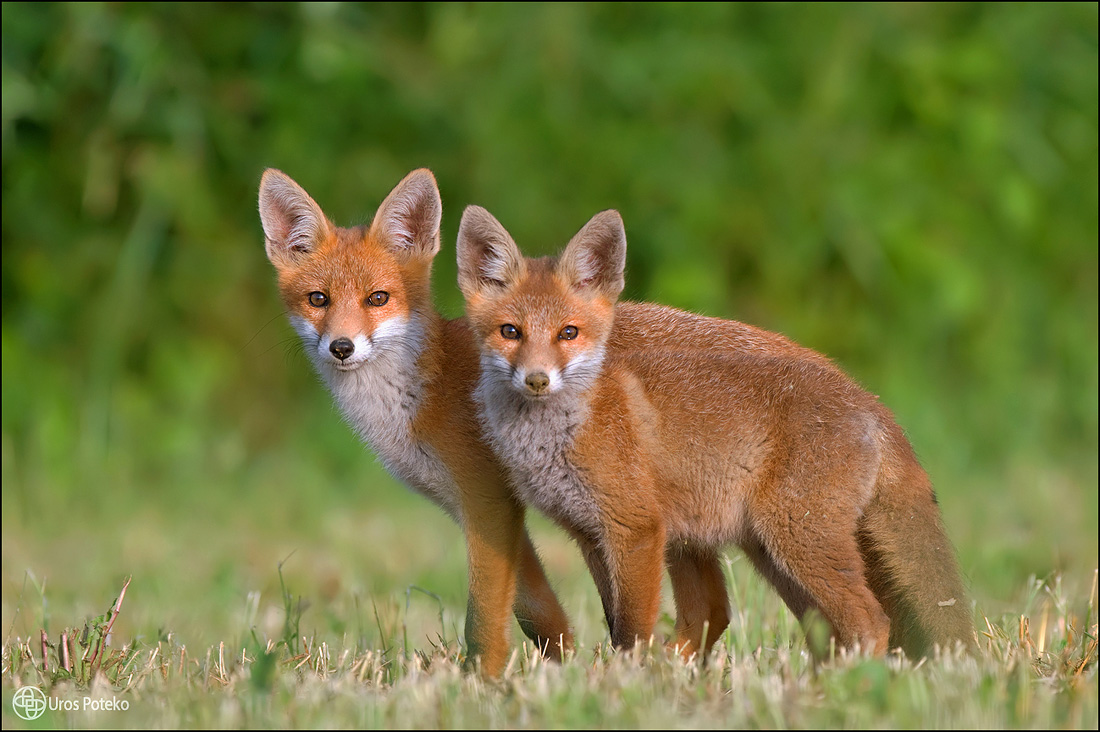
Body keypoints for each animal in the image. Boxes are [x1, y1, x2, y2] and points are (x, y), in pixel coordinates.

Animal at [455, 203, 972, 656]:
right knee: (794, 624)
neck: (554, 439)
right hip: (765, 549)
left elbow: (632, 629)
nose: (537, 379)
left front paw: (631, 681)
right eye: (510, 332)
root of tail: (867, 401)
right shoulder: (590, 534)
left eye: (568, 333)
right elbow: (615, 622)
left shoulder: (636, 529)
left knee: (869, 621)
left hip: (797, 539)